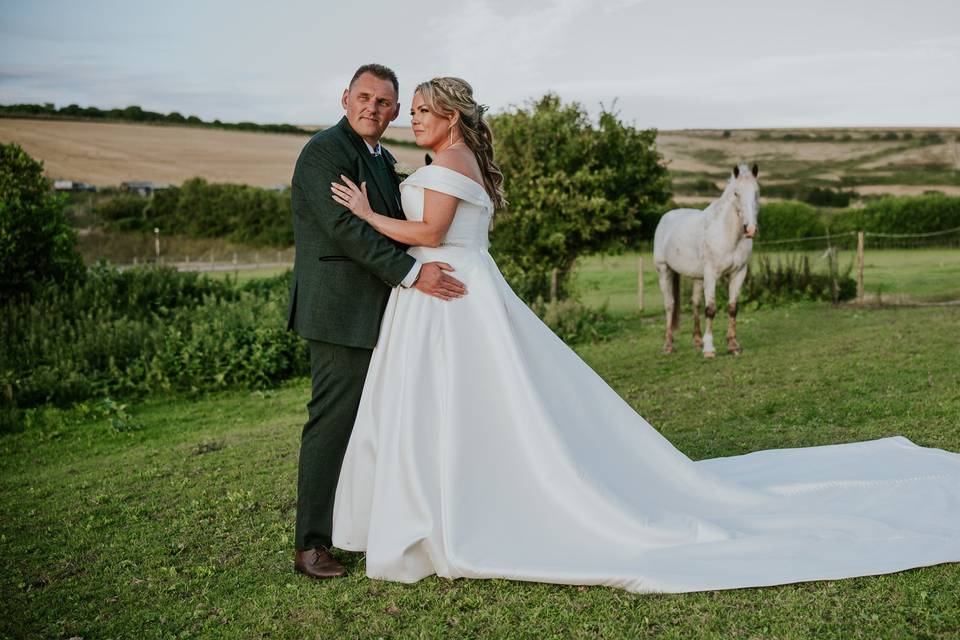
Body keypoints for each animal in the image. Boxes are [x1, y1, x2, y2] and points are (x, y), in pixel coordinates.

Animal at [652, 162, 756, 358]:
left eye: (756, 192)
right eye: (736, 193)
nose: (750, 229)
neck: (727, 234)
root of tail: (666, 217)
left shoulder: (739, 273)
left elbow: (732, 308)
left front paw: (733, 346)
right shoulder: (711, 275)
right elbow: (711, 309)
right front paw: (709, 349)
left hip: (698, 278)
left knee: (695, 304)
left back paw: (697, 341)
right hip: (664, 270)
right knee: (669, 305)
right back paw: (668, 345)